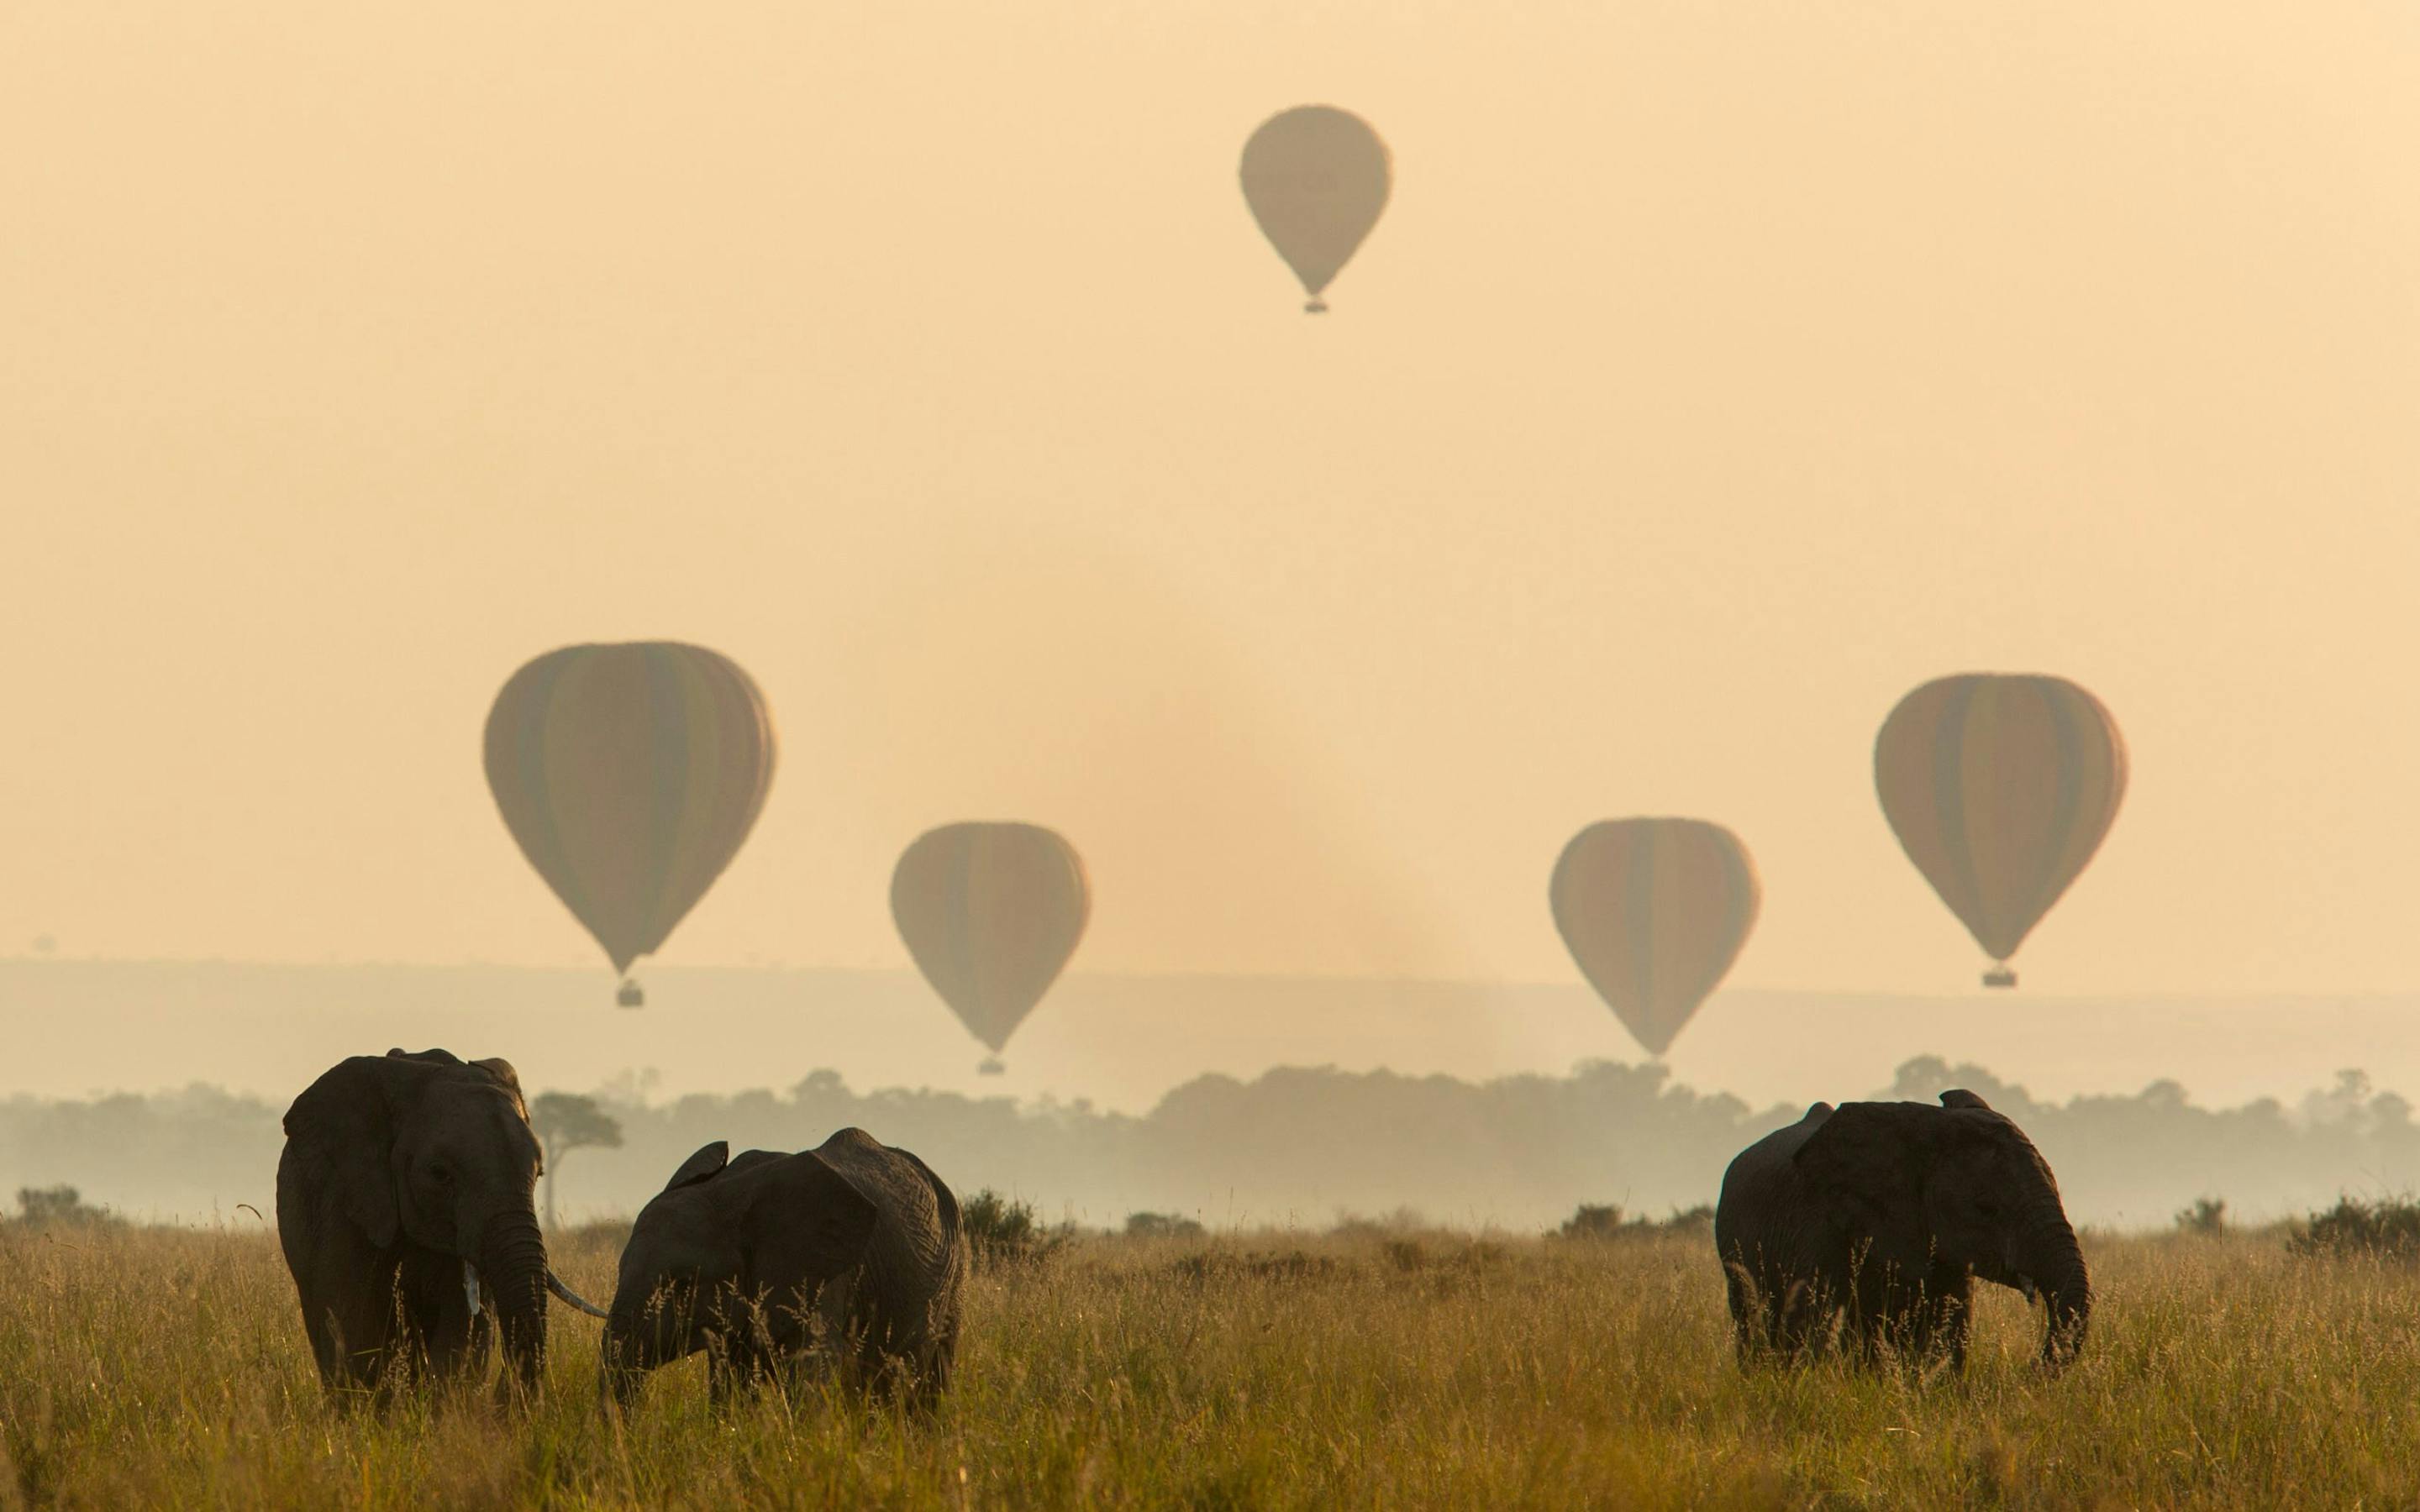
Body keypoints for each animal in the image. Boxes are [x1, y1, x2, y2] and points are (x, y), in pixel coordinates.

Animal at [602, 1128, 968, 1411]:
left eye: (684, 1284)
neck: (728, 1194)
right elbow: (729, 1385)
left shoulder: (822, 1275)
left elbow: (811, 1373)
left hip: (956, 1273)